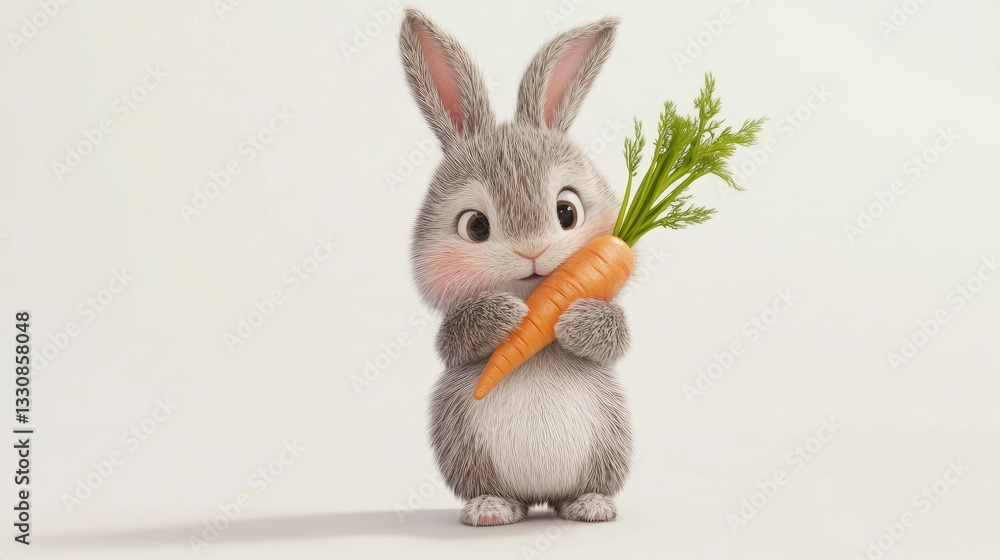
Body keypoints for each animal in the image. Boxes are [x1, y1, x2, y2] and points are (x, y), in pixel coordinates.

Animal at [399, 8, 633, 526]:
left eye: (567, 212)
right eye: (476, 226)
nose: (531, 254)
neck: (534, 295)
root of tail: (539, 496)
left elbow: (614, 336)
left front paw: (572, 320)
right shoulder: (453, 341)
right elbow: (455, 341)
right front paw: (505, 316)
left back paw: (590, 505)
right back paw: (491, 509)